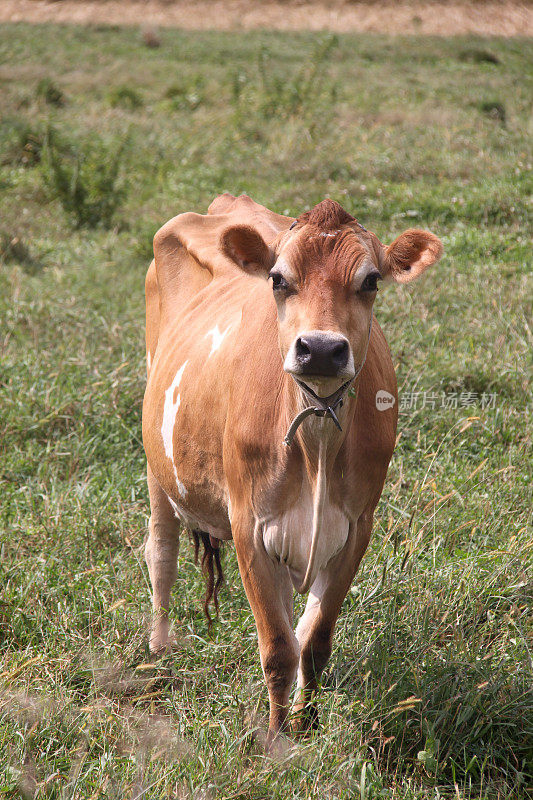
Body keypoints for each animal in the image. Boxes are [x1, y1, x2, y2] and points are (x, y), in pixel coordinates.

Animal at [140, 192, 440, 744]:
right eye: (278, 279)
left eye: (371, 280)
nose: (320, 348)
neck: (315, 439)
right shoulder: (249, 527)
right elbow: (279, 649)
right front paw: (277, 737)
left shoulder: (356, 528)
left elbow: (312, 640)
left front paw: (308, 722)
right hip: (157, 461)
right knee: (161, 552)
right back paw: (159, 651)